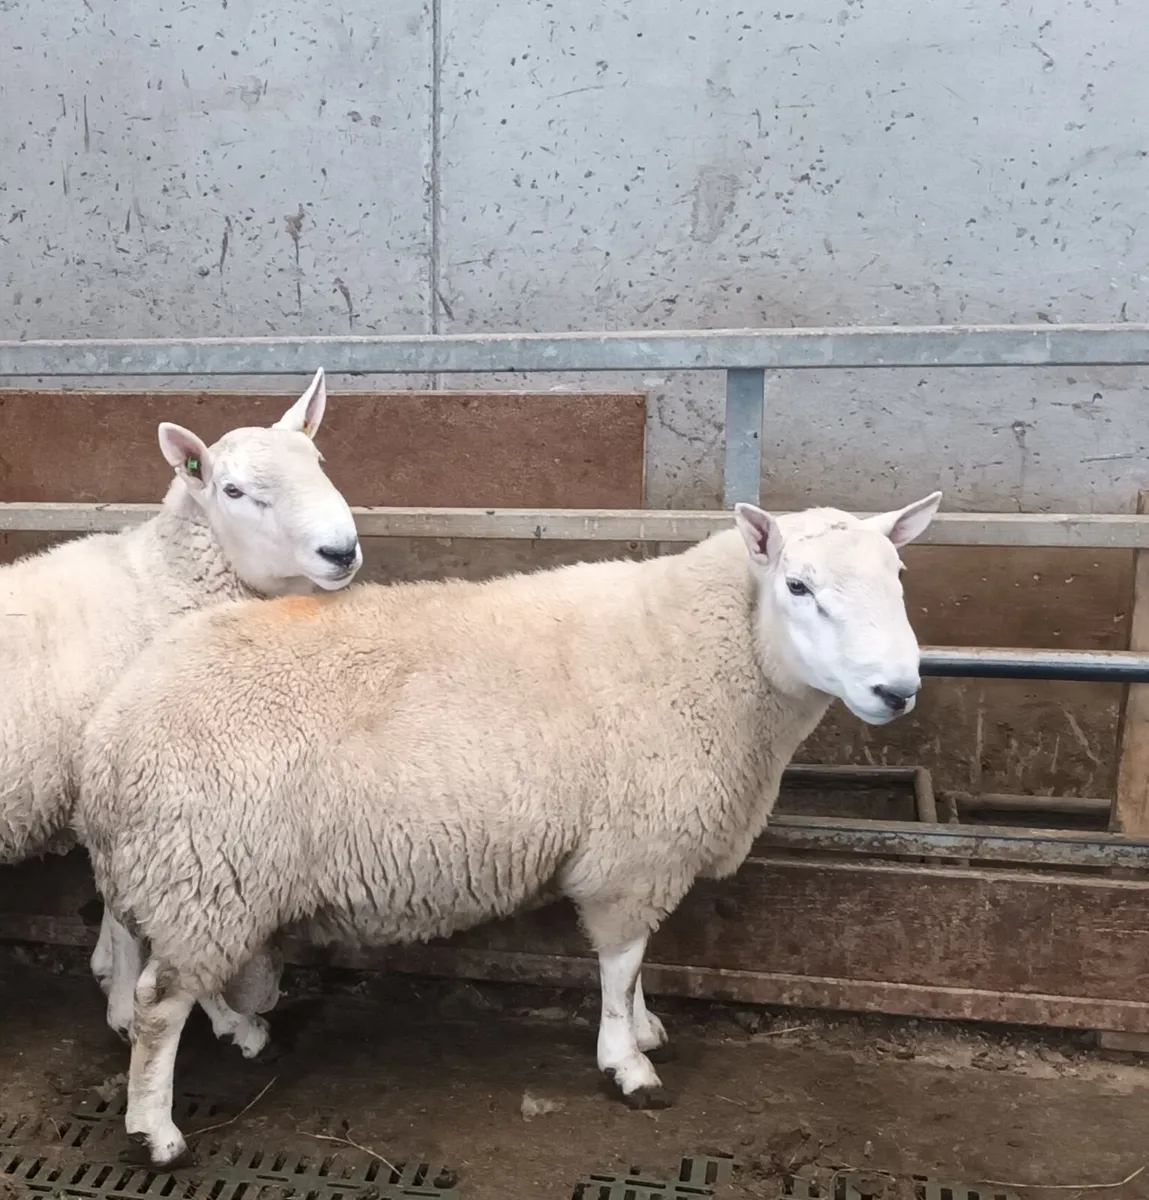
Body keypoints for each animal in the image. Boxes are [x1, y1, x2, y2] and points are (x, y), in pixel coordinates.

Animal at [1, 367, 361, 1057]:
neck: (162, 584)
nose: (341, 551)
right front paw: (158, 1008)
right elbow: (130, 913)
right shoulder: (115, 786)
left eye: (321, 463)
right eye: (234, 490)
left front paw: (111, 979)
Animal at [75, 489, 942, 1167]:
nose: (896, 690)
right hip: (208, 865)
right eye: (797, 585)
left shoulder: (643, 855)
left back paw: (240, 1033)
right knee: (159, 1003)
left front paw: (646, 1029)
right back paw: (154, 1131)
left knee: (172, 974)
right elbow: (621, 965)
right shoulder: (631, 855)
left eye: (899, 578)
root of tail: (113, 732)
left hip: (202, 878)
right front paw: (627, 1065)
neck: (707, 654)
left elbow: (638, 966)